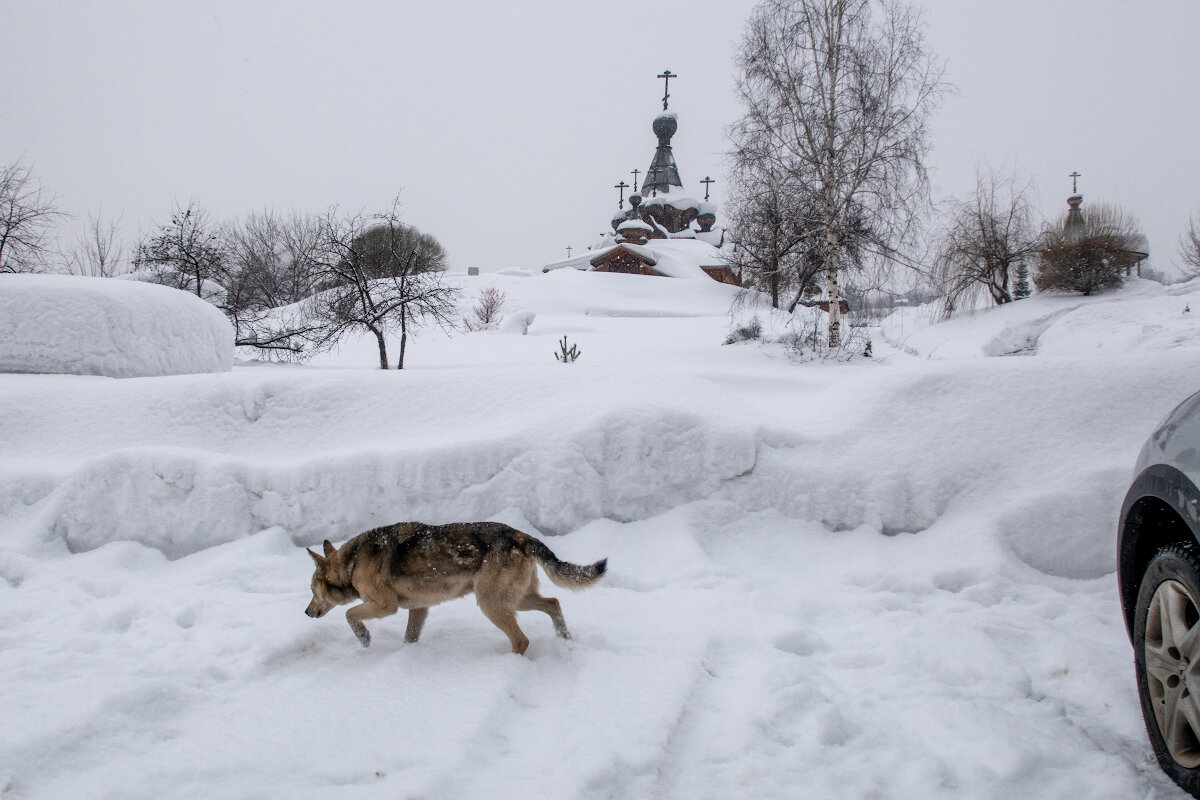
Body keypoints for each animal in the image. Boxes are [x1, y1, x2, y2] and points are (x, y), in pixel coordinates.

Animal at [304, 520, 604, 657]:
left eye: (312, 590)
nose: (306, 612)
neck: (351, 564)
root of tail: (523, 536)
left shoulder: (385, 606)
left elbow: (349, 614)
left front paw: (364, 638)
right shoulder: (418, 608)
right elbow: (409, 638)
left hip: (491, 604)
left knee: (522, 639)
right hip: (516, 600)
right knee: (553, 603)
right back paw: (565, 639)